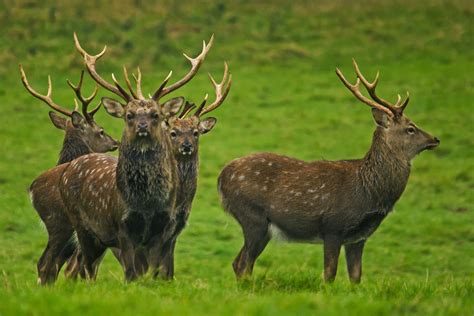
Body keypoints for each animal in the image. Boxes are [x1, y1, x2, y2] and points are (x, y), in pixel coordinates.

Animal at [20, 65, 119, 286]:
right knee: (46, 263)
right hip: (59, 223)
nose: (115, 142)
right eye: (101, 130)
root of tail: (31, 191)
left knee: (52, 266)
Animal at [53, 32, 215, 282]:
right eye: (129, 115)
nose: (142, 126)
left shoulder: (165, 228)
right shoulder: (124, 227)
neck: (146, 202)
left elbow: (158, 271)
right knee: (80, 267)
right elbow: (133, 273)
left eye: (155, 114)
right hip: (82, 227)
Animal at [218, 59, 440, 284]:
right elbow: (329, 274)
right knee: (243, 263)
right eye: (410, 128)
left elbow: (356, 277)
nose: (435, 139)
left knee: (238, 262)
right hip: (253, 217)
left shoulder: (359, 237)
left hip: (263, 228)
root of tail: (221, 177)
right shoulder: (333, 227)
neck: (369, 195)